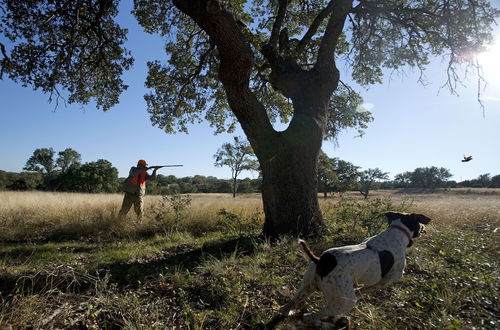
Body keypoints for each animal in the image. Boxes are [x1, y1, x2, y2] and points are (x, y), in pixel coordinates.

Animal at [280, 213, 432, 326]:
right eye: (419, 223)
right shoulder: (384, 281)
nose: (424, 227)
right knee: (311, 316)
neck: (397, 232)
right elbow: (364, 290)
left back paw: (288, 311)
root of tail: (322, 260)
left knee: (289, 304)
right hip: (344, 301)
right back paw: (325, 323)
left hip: (307, 286)